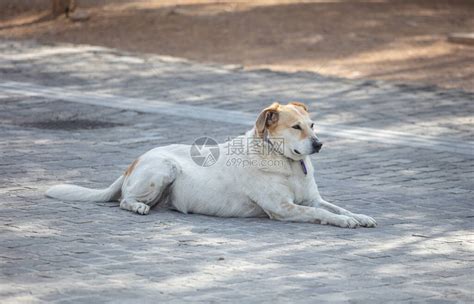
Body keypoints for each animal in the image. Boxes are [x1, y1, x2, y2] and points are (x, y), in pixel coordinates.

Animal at [45, 102, 378, 228]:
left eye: (312, 125)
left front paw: (359, 216)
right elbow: (322, 213)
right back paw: (138, 206)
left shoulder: (312, 198)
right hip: (163, 169)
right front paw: (345, 222)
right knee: (124, 200)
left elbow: (336, 206)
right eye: (296, 127)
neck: (288, 163)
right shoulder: (283, 209)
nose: (319, 144)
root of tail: (133, 162)